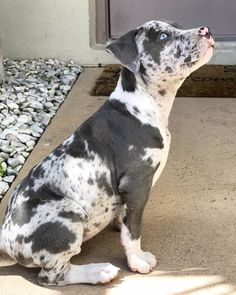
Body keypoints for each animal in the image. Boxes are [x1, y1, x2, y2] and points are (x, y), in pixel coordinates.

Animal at [0, 21, 215, 286]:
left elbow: (126, 221)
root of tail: (5, 239)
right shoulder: (136, 183)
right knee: (53, 275)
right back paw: (99, 271)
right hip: (67, 215)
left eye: (178, 26)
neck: (142, 104)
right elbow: (134, 230)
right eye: (163, 36)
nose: (206, 30)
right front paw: (137, 260)